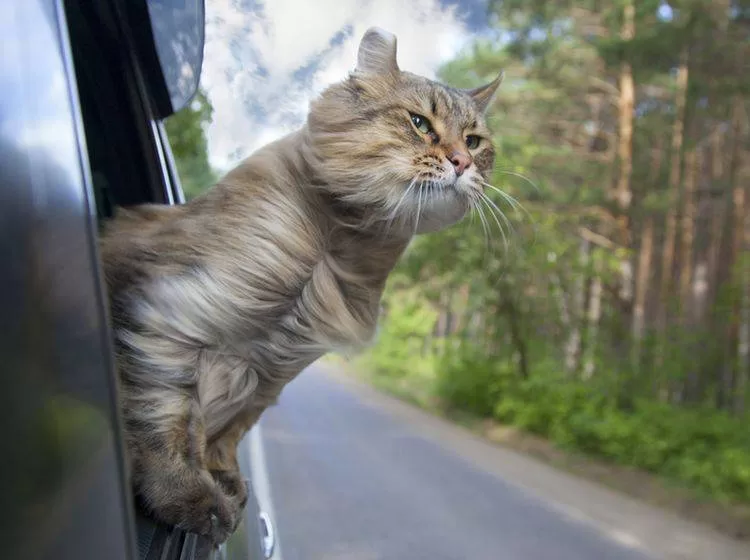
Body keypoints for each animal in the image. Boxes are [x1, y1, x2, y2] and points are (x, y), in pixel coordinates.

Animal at [98, 26, 500, 544]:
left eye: (474, 140)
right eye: (420, 124)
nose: (462, 162)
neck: (335, 246)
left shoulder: (273, 371)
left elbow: (228, 431)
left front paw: (224, 478)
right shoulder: (169, 316)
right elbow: (166, 417)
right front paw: (190, 496)